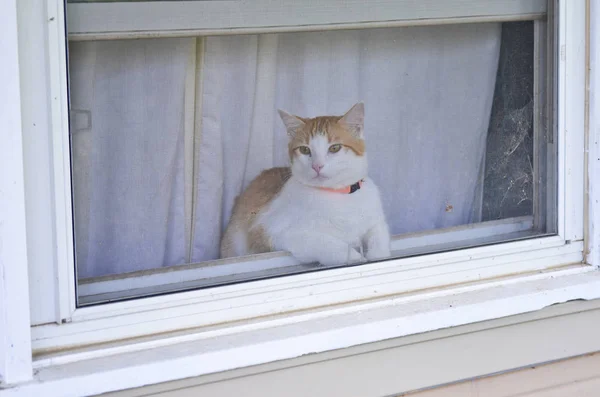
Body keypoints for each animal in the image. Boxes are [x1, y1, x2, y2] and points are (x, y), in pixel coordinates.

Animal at [219, 102, 390, 264]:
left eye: (335, 148)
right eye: (304, 150)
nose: (317, 166)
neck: (339, 194)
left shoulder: (376, 220)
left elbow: (380, 236)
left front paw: (378, 255)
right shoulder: (275, 232)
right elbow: (329, 243)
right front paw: (355, 257)